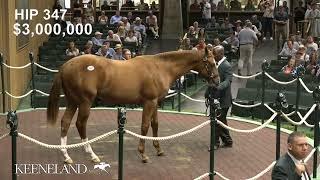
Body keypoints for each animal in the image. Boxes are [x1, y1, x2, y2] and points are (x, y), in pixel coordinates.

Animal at [47, 48, 220, 164]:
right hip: (84, 102)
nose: (217, 81)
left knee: (65, 123)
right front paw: (143, 154)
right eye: (211, 63)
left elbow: (155, 124)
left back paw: (66, 156)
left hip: (73, 102)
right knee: (80, 124)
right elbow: (145, 126)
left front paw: (158, 149)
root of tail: (65, 66)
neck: (160, 67)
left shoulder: (155, 102)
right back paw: (92, 155)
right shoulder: (149, 102)